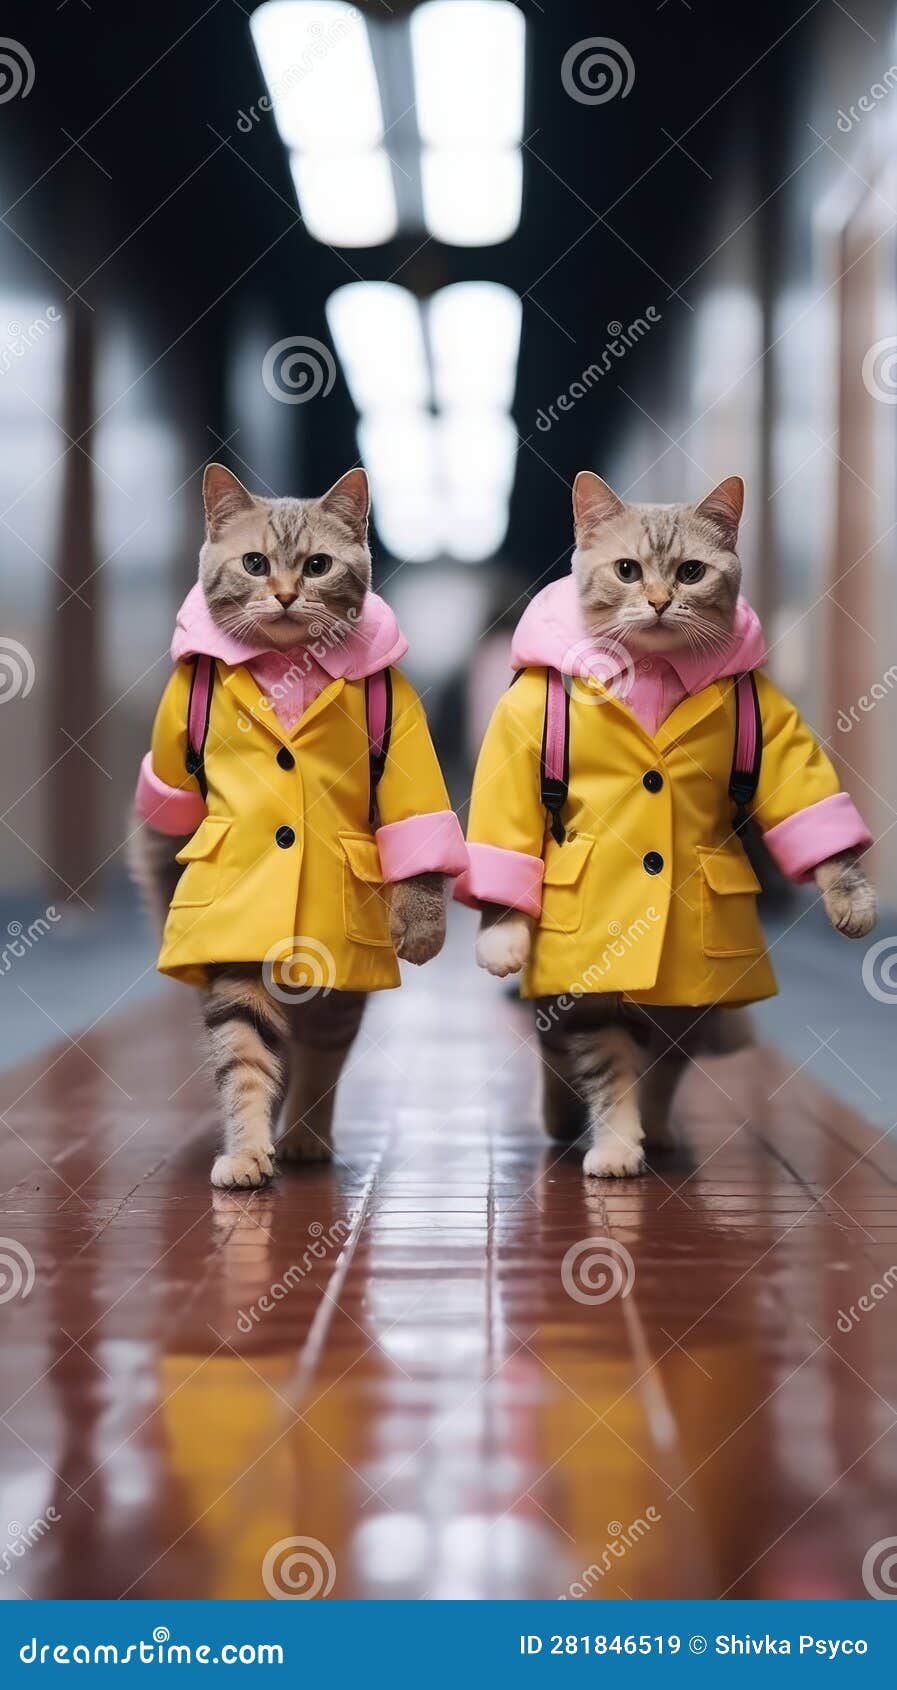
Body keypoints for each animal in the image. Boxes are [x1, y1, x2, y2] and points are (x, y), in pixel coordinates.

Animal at [131, 466, 449, 1189]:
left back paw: (304, 1134)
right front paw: (247, 1150)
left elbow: (415, 830)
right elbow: (244, 1059)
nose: (282, 594)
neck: (287, 666)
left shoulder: (403, 741)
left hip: (336, 985)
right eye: (255, 564)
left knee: (320, 1056)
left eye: (316, 566)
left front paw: (419, 922)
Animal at [476, 463, 878, 1176]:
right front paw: (614, 1146)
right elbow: (605, 1071)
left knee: (665, 1060)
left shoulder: (776, 730)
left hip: (692, 1005)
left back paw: (658, 1129)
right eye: (628, 571)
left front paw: (848, 898)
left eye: (691, 573)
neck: (655, 668)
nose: (662, 600)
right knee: (573, 1055)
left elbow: (814, 820)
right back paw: (568, 1120)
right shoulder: (521, 730)